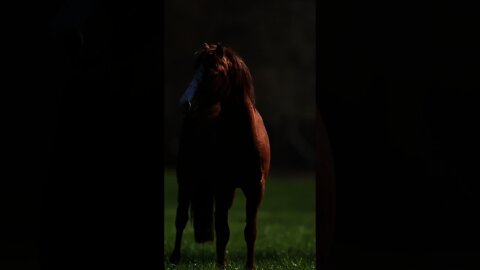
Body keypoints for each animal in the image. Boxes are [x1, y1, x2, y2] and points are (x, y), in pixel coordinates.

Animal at [170, 42, 270, 270]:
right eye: (195, 70)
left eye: (213, 72)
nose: (185, 103)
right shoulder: (223, 185)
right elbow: (223, 230)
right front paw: (221, 265)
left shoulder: (255, 188)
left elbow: (250, 231)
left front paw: (249, 265)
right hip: (186, 180)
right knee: (181, 218)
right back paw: (175, 257)